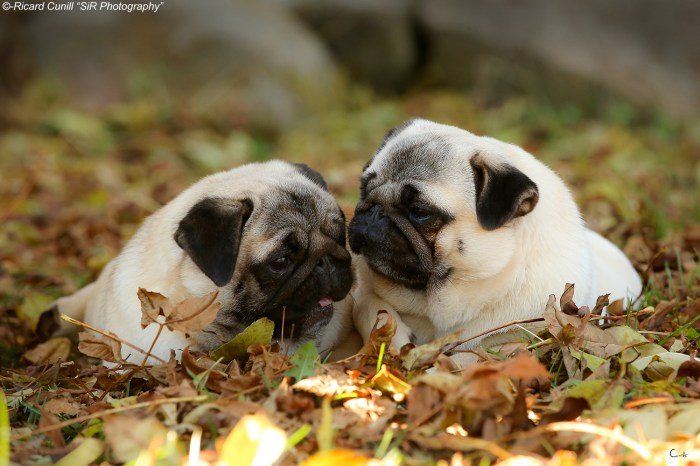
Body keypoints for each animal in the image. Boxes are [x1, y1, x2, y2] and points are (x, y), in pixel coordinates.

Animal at [347, 119, 642, 365]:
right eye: (363, 188)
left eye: (419, 212)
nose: (373, 211)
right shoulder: (362, 293)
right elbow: (367, 305)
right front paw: (392, 338)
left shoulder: (508, 341)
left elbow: (467, 359)